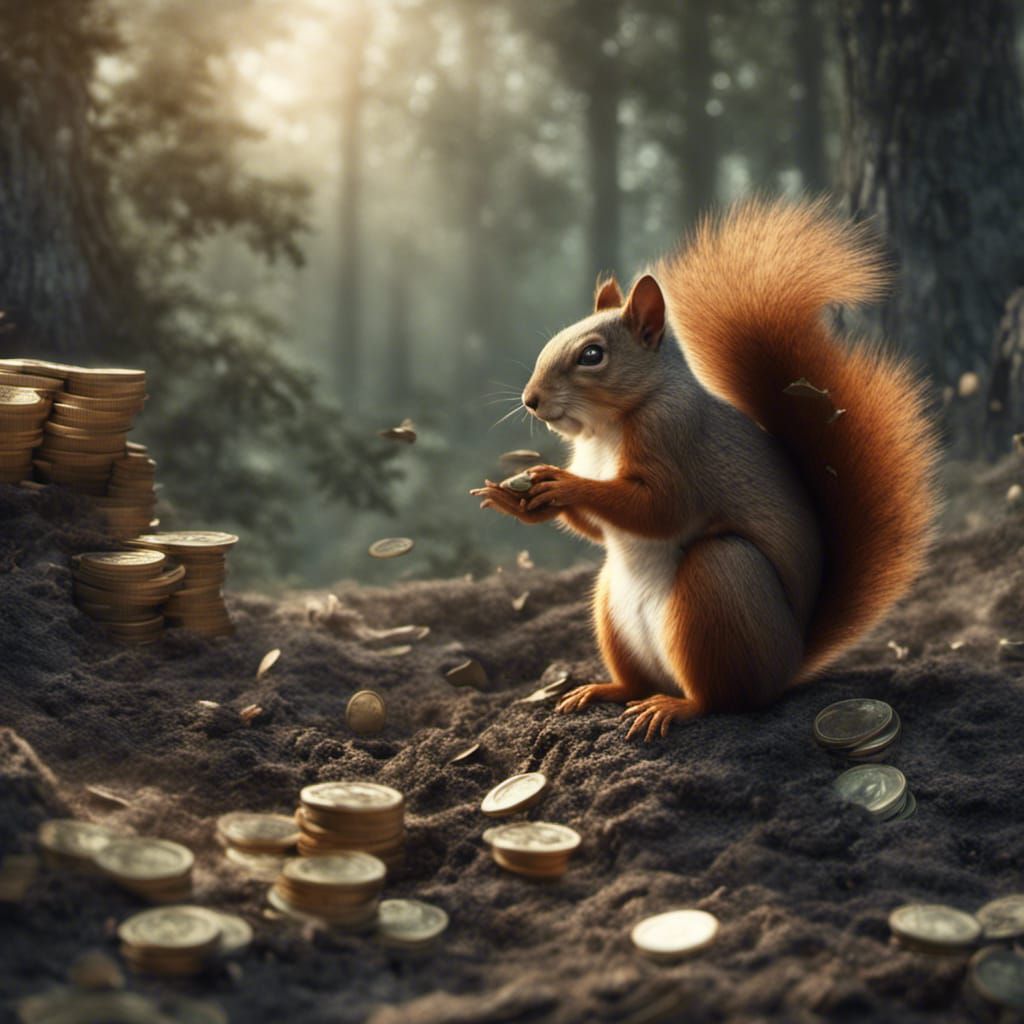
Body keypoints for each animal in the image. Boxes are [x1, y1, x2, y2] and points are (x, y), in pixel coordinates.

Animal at [471, 198, 940, 741]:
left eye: (592, 355)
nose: (531, 400)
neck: (606, 430)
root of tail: (789, 665)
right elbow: (597, 529)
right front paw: (517, 502)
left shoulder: (676, 440)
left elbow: (662, 509)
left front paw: (563, 484)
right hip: (612, 607)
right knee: (637, 681)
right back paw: (603, 690)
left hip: (721, 581)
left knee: (723, 698)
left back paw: (675, 708)